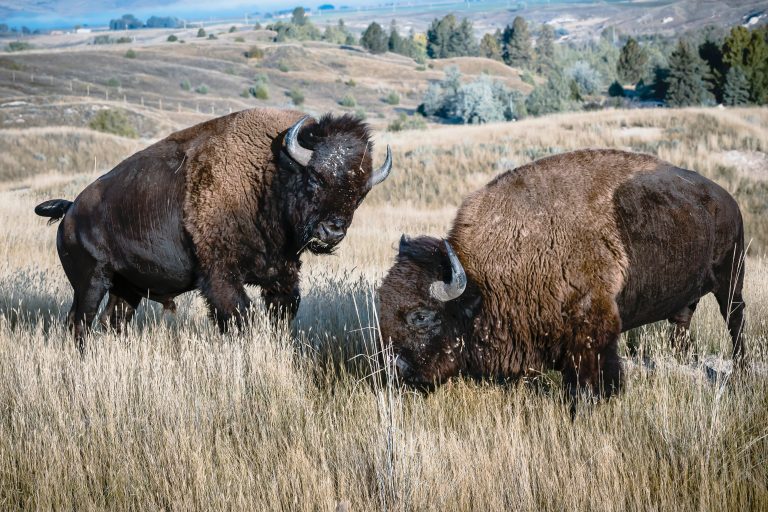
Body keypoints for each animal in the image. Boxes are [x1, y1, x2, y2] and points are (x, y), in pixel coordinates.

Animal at [35, 108, 392, 349]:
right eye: (316, 177)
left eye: (360, 194)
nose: (331, 232)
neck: (269, 175)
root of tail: (71, 210)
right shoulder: (220, 278)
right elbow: (238, 317)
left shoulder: (281, 275)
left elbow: (282, 311)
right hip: (91, 281)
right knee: (80, 322)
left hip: (127, 289)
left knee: (112, 322)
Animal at [378, 149, 745, 399]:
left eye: (422, 316)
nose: (395, 370)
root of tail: (726, 198)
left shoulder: (592, 334)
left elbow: (590, 380)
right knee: (683, 319)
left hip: (730, 279)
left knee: (735, 319)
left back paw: (740, 368)